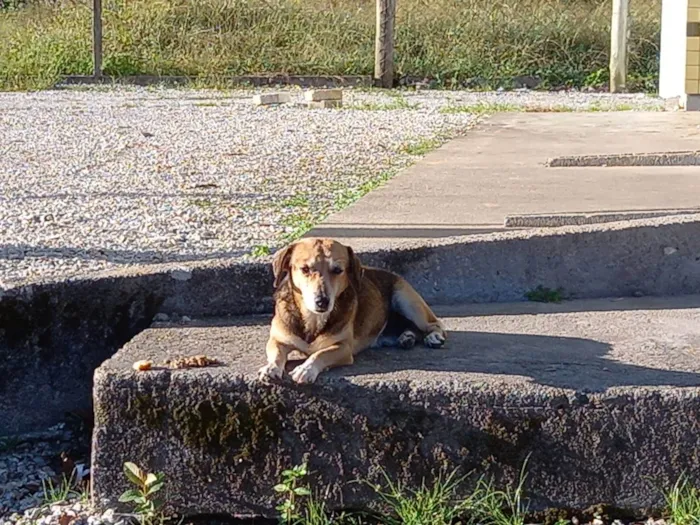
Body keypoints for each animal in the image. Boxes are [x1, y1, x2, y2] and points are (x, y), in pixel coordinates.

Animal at [258, 239, 448, 382]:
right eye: (305, 269)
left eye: (337, 270)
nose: (322, 301)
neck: (313, 319)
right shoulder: (278, 339)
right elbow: (276, 353)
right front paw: (271, 367)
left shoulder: (343, 348)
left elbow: (320, 354)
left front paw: (306, 369)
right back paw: (406, 337)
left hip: (407, 301)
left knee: (434, 324)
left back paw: (432, 336)